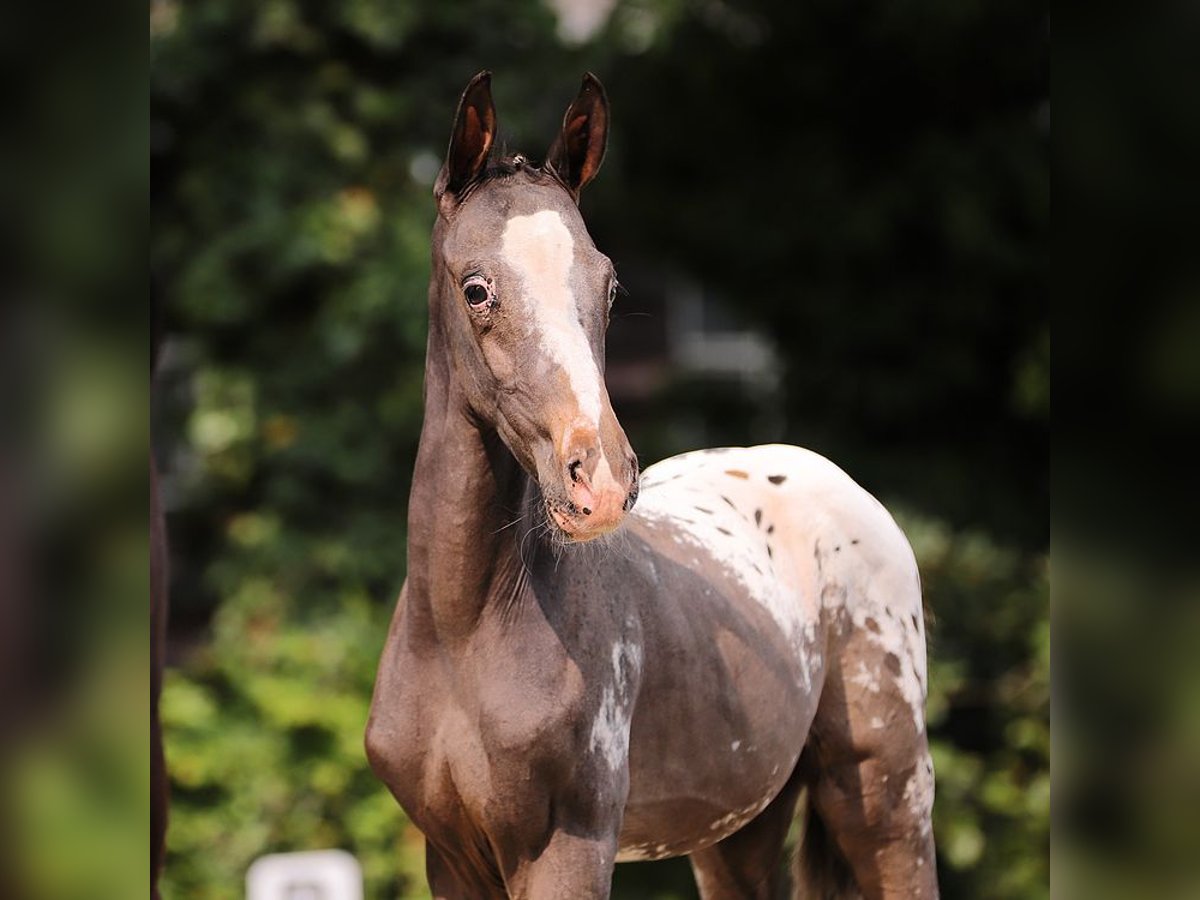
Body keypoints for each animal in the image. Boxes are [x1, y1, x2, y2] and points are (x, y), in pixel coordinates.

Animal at [364, 72, 936, 900]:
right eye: (476, 289)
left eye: (608, 286)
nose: (600, 480)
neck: (463, 634)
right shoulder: (453, 860)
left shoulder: (569, 846)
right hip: (738, 831)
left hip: (887, 799)